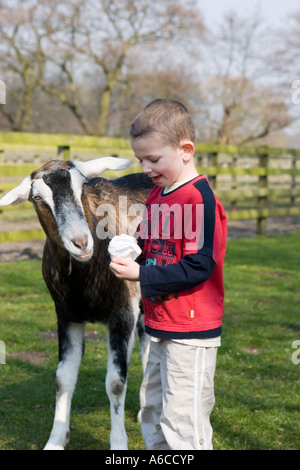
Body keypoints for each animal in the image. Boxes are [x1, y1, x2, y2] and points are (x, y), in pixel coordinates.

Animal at [0, 157, 154, 448]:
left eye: (82, 186)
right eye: (37, 198)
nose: (81, 242)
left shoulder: (122, 313)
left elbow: (116, 383)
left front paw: (119, 443)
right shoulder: (67, 316)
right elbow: (63, 379)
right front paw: (56, 440)